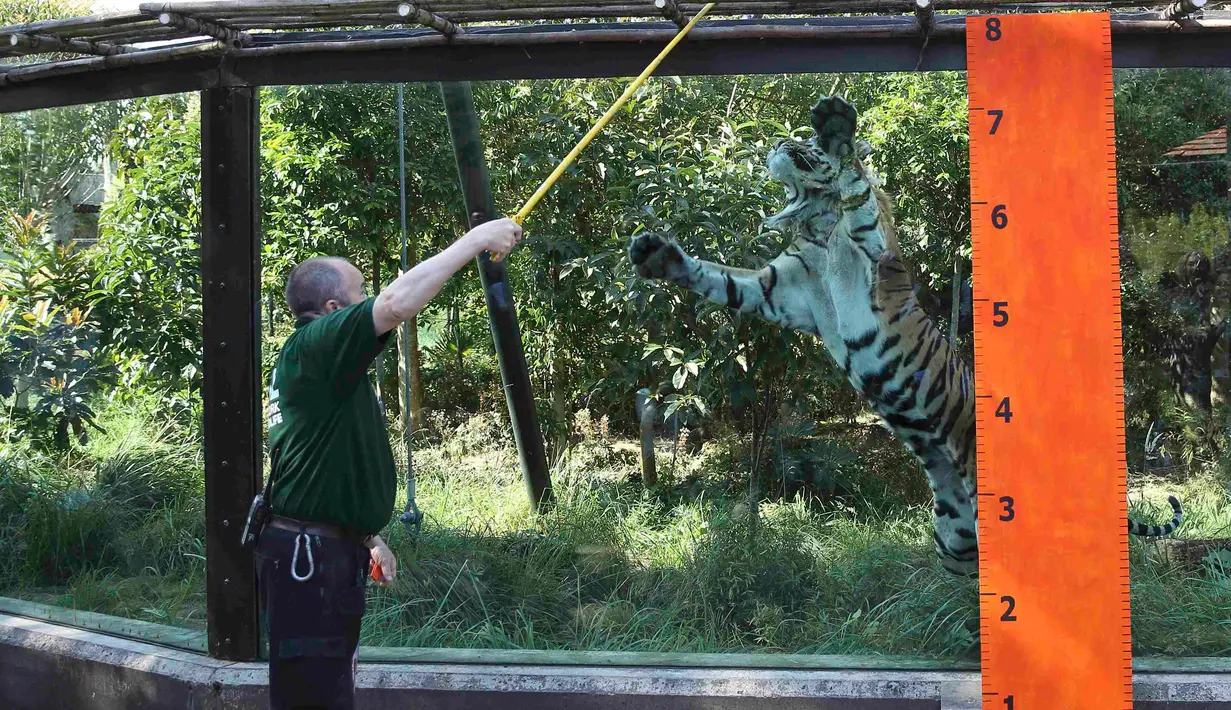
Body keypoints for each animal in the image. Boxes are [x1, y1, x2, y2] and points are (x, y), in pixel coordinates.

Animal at [630, 94, 1176, 575]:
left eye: (805, 140)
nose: (780, 142)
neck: (818, 224)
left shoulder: (873, 250)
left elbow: (856, 185)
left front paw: (837, 130)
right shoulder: (775, 291)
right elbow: (717, 277)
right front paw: (658, 256)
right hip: (954, 532)